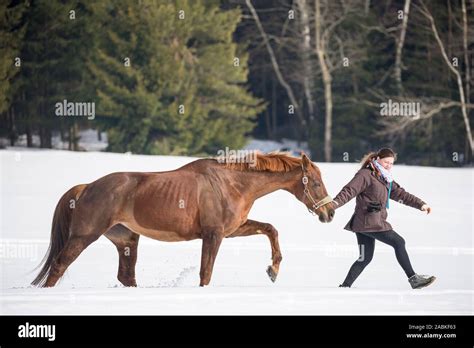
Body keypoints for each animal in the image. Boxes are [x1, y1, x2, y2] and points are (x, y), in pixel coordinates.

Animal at [32, 153, 334, 288]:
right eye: (316, 183)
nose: (329, 213)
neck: (232, 183)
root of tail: (86, 187)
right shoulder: (214, 235)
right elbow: (205, 273)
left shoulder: (233, 230)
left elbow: (271, 229)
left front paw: (273, 270)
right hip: (84, 236)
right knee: (59, 265)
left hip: (126, 239)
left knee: (126, 276)